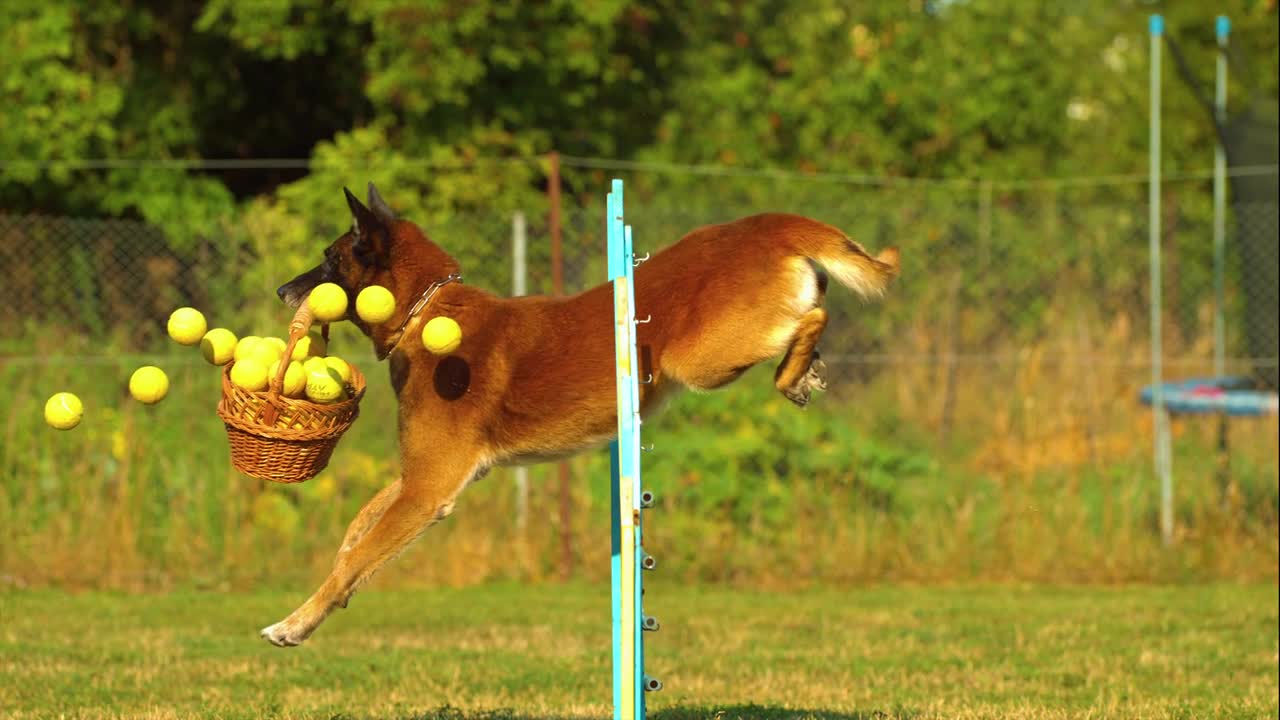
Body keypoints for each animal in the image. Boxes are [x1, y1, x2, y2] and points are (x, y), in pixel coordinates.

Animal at [259, 180, 901, 645]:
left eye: (329, 260)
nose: (282, 291)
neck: (427, 309)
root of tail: (767, 224)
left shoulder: (428, 489)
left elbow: (359, 556)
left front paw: (295, 623)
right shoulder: (423, 476)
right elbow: (355, 536)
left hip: (703, 359)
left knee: (813, 316)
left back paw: (796, 371)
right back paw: (805, 369)